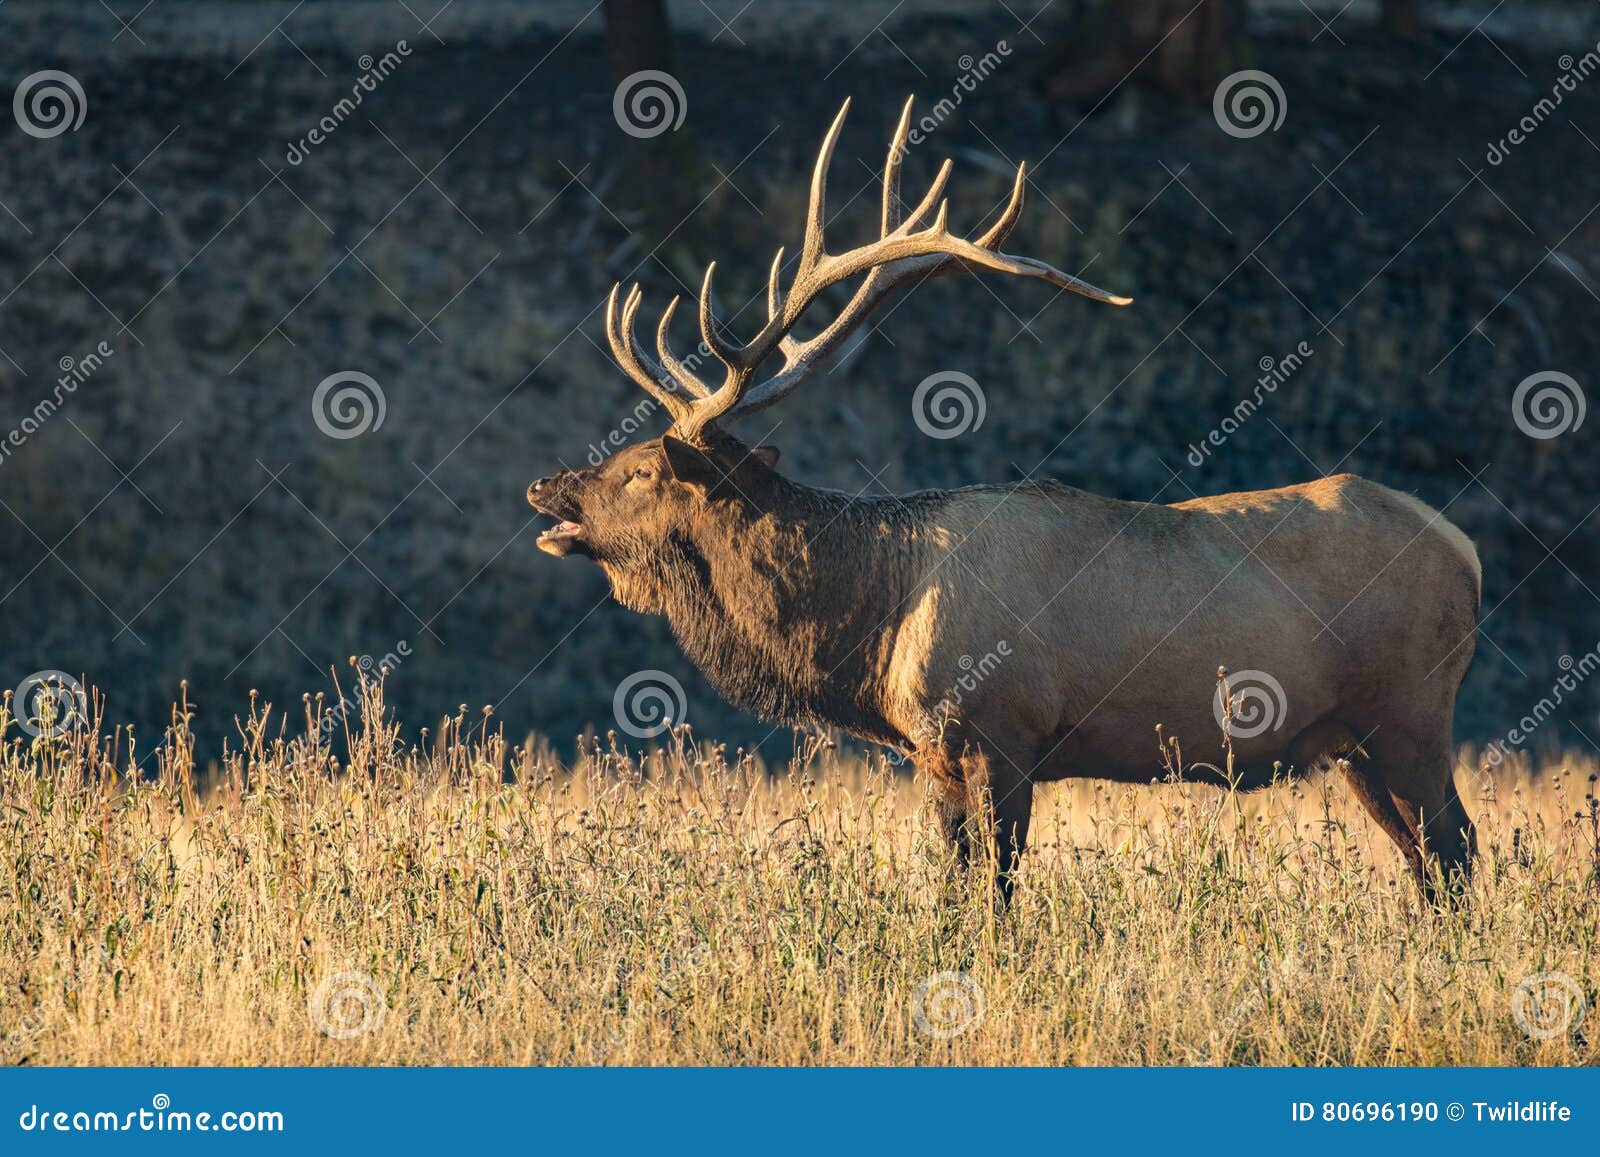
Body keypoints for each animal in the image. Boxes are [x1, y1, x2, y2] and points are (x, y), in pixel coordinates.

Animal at [527, 97, 1480, 905]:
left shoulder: (1001, 736)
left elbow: (994, 897)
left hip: (1411, 711)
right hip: (1355, 740)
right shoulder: (938, 759)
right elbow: (954, 894)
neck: (875, 626)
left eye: (642, 468)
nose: (544, 483)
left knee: (1458, 850)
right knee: (1429, 861)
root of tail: (1465, 546)